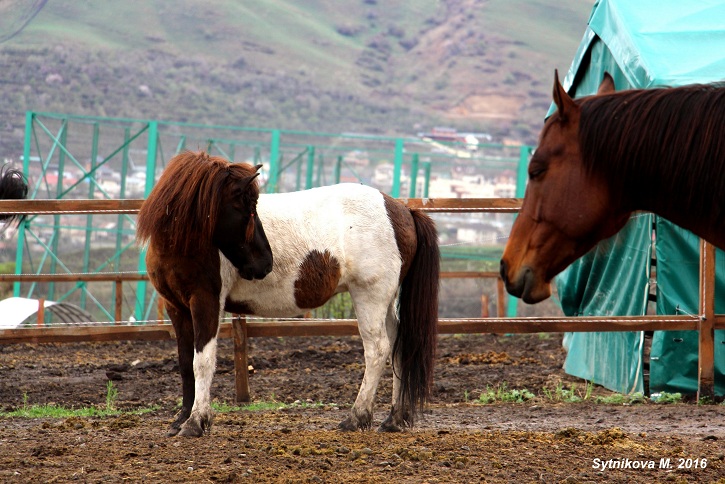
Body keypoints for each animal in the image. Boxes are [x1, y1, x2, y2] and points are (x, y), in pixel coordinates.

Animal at [138, 149, 438, 436]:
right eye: (248, 210)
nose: (264, 263)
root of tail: (401, 209)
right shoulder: (176, 307)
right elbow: (185, 363)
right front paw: (180, 420)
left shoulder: (206, 302)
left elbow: (202, 361)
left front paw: (196, 422)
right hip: (386, 300)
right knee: (399, 346)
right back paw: (394, 419)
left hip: (370, 297)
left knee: (377, 349)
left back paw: (356, 417)